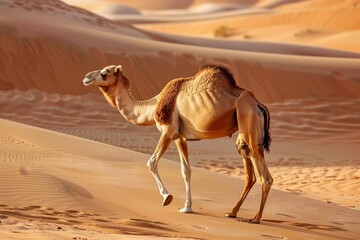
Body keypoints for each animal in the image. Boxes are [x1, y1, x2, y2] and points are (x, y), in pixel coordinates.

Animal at [82, 64, 272, 224]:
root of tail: (258, 104)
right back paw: (231, 212)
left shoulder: (168, 131)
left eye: (105, 73)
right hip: (243, 135)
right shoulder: (180, 137)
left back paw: (255, 218)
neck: (153, 106)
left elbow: (151, 162)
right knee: (250, 174)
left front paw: (167, 197)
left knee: (265, 177)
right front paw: (187, 207)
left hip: (249, 121)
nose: (86, 77)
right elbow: (186, 171)